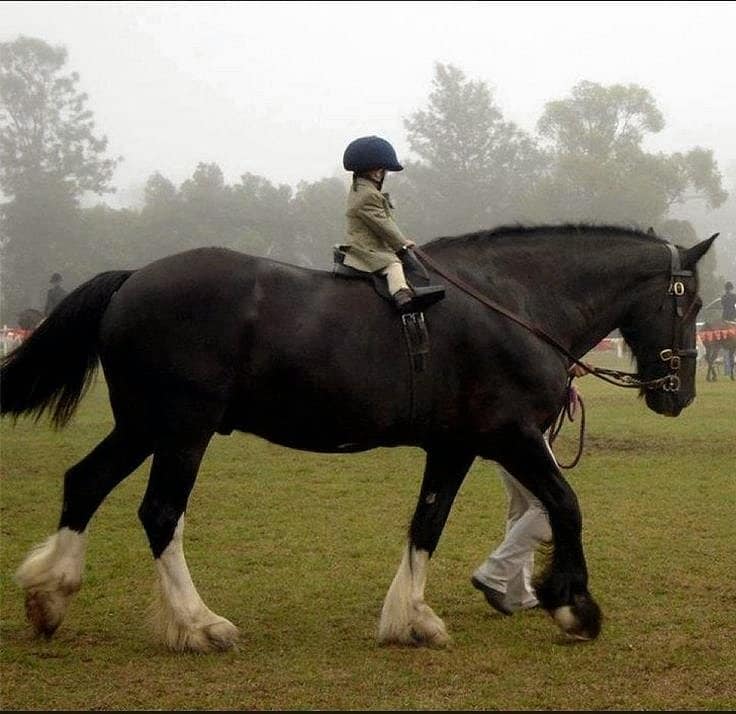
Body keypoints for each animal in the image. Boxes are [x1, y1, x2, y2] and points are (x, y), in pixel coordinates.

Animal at [0, 222, 712, 652]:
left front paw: (412, 618)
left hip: (143, 427)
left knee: (85, 482)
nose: (679, 395)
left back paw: (50, 598)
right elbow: (565, 505)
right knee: (159, 514)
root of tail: (133, 279)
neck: (514, 303)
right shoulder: (510, 437)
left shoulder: (456, 446)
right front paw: (575, 606)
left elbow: (428, 524)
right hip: (181, 431)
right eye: (696, 304)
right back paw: (199, 624)